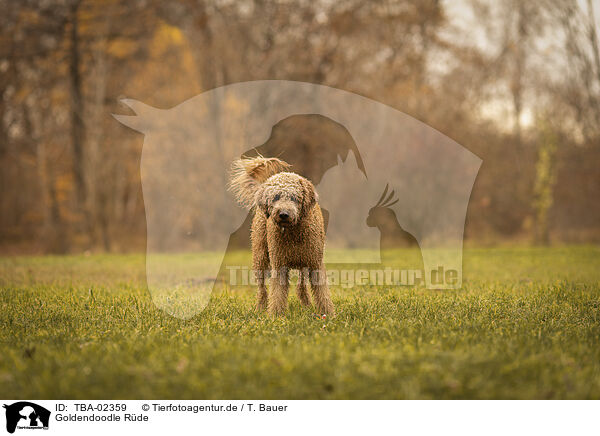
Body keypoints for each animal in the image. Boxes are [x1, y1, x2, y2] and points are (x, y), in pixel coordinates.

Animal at [230, 157, 336, 316]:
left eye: (294, 197)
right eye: (275, 197)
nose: (283, 214)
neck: (293, 233)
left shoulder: (315, 263)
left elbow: (322, 293)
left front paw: (328, 313)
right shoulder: (279, 265)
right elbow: (277, 294)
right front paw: (275, 315)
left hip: (303, 262)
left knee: (301, 286)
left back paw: (306, 304)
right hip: (260, 256)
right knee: (262, 289)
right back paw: (260, 308)